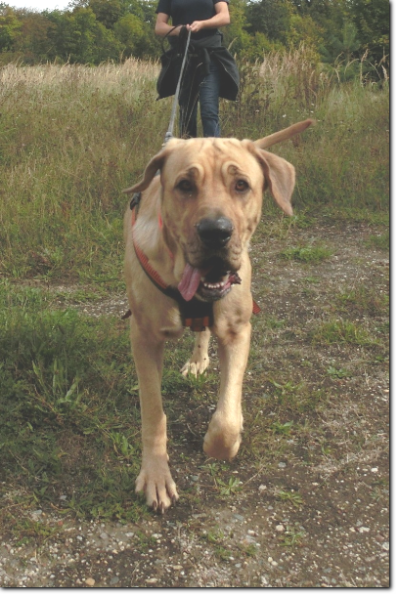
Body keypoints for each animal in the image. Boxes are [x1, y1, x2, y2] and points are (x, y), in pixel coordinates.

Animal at [123, 120, 312, 512]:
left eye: (241, 184)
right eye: (184, 185)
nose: (216, 232)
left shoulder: (238, 330)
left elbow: (227, 417)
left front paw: (220, 442)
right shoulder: (144, 337)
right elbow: (154, 413)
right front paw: (156, 475)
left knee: (203, 330)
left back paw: (198, 357)